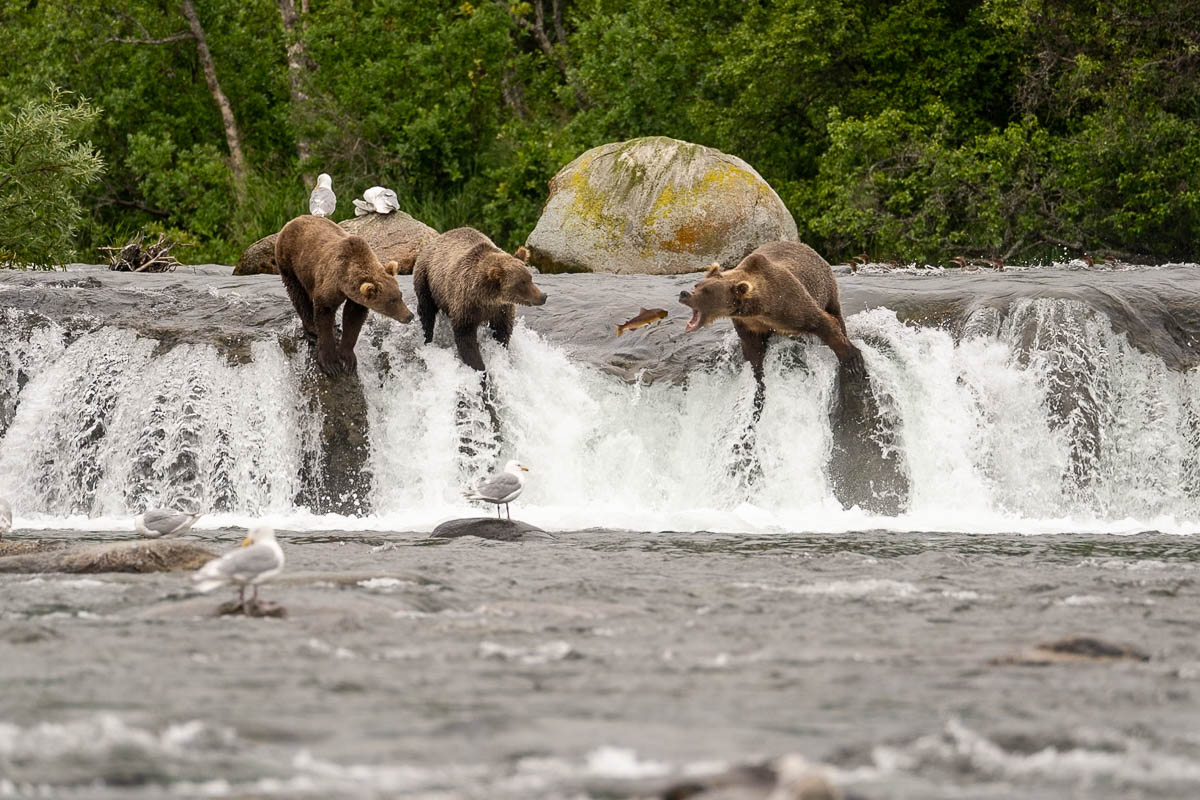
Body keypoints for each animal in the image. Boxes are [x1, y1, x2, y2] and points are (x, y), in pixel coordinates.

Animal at [274, 212, 415, 376]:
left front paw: (347, 359)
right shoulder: (330, 282)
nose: (409, 315)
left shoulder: (357, 298)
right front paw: (331, 363)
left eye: (400, 295)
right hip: (289, 262)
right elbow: (324, 313)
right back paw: (312, 330)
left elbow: (353, 318)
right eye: (391, 301)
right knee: (297, 294)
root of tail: (292, 221)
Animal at [410, 226, 547, 371]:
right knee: (426, 311)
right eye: (521, 283)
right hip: (426, 278)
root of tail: (435, 240)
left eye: (530, 278)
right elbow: (466, 339)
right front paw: (480, 368)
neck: (486, 297)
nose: (543, 296)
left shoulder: (501, 309)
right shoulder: (466, 306)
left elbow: (503, 331)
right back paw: (427, 338)